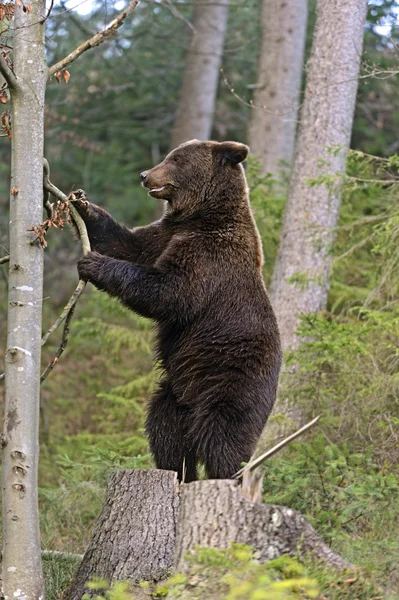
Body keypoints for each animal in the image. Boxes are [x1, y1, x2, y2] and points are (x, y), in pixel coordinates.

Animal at [75, 141, 282, 482]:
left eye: (175, 160)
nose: (145, 175)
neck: (200, 216)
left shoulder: (208, 256)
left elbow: (169, 292)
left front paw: (94, 263)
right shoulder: (164, 235)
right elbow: (127, 243)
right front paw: (82, 205)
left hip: (234, 380)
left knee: (223, 436)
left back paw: (226, 475)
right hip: (175, 392)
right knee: (165, 429)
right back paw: (179, 471)